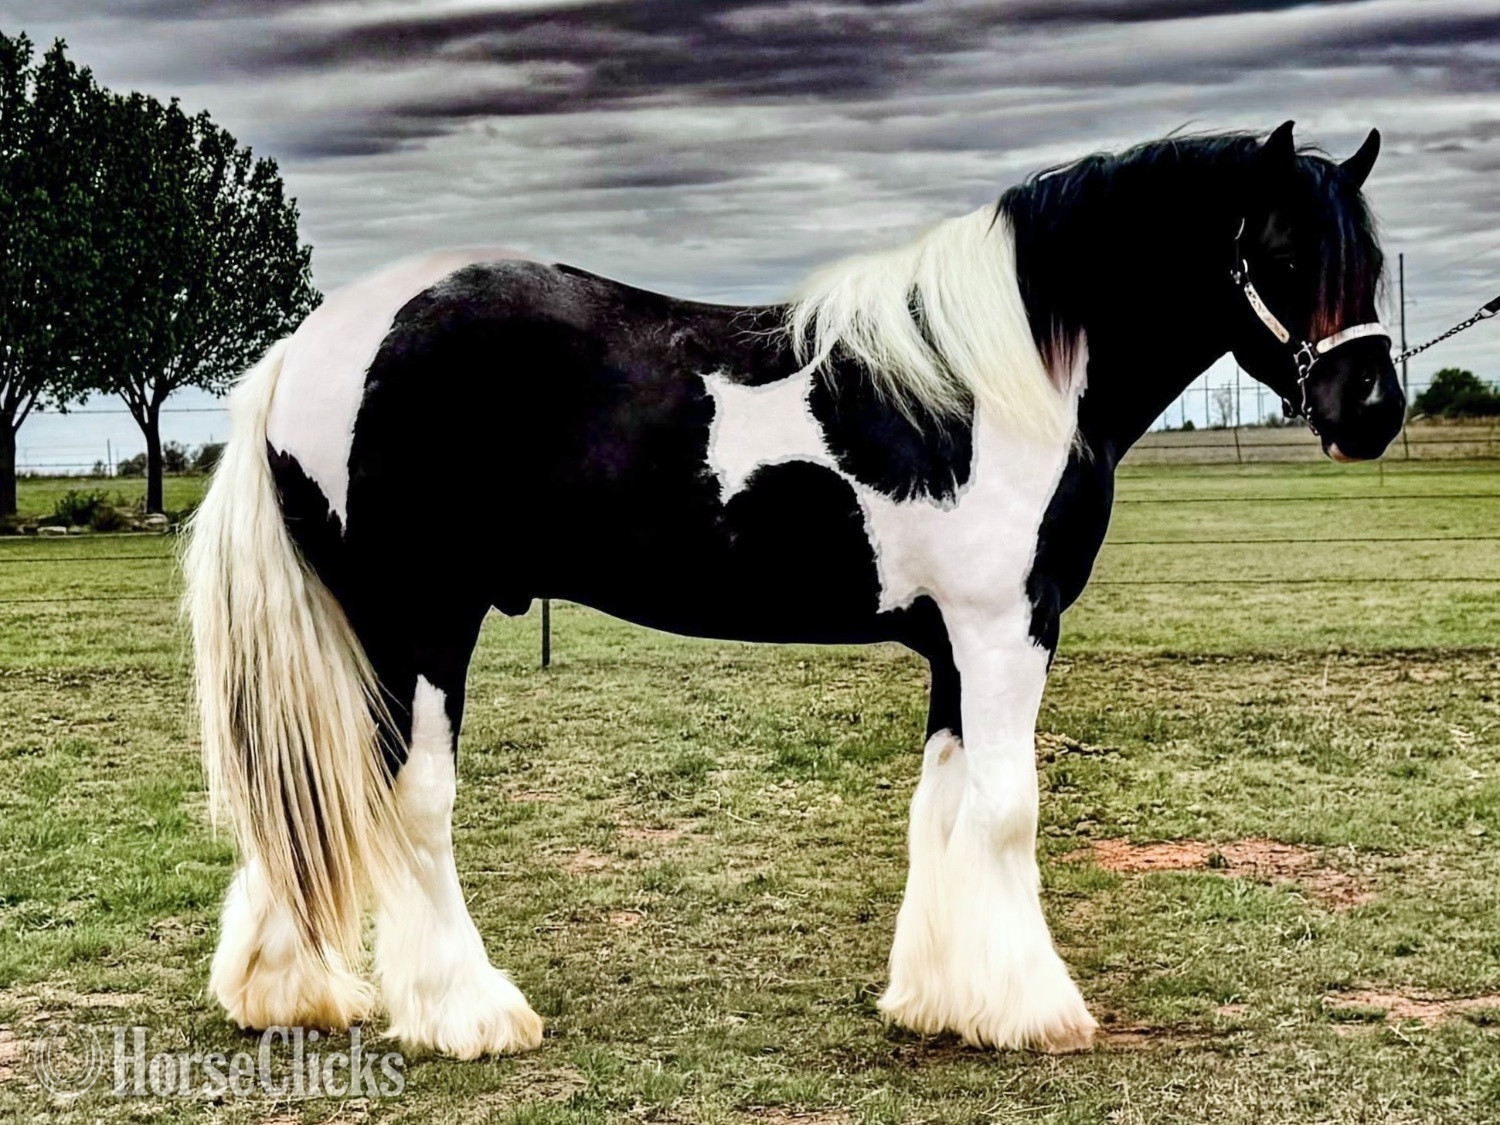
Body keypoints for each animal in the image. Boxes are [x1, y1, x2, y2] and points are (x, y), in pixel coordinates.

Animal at [183, 122, 1403, 1059]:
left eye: (1373, 257)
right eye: (1282, 251)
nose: (1372, 407)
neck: (999, 381)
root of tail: (308, 349)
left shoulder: (957, 646)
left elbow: (941, 807)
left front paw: (941, 1000)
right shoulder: (1008, 630)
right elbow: (1008, 810)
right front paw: (1033, 1011)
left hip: (362, 632)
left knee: (306, 795)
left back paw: (290, 992)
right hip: (423, 627)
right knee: (411, 804)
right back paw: (467, 1016)